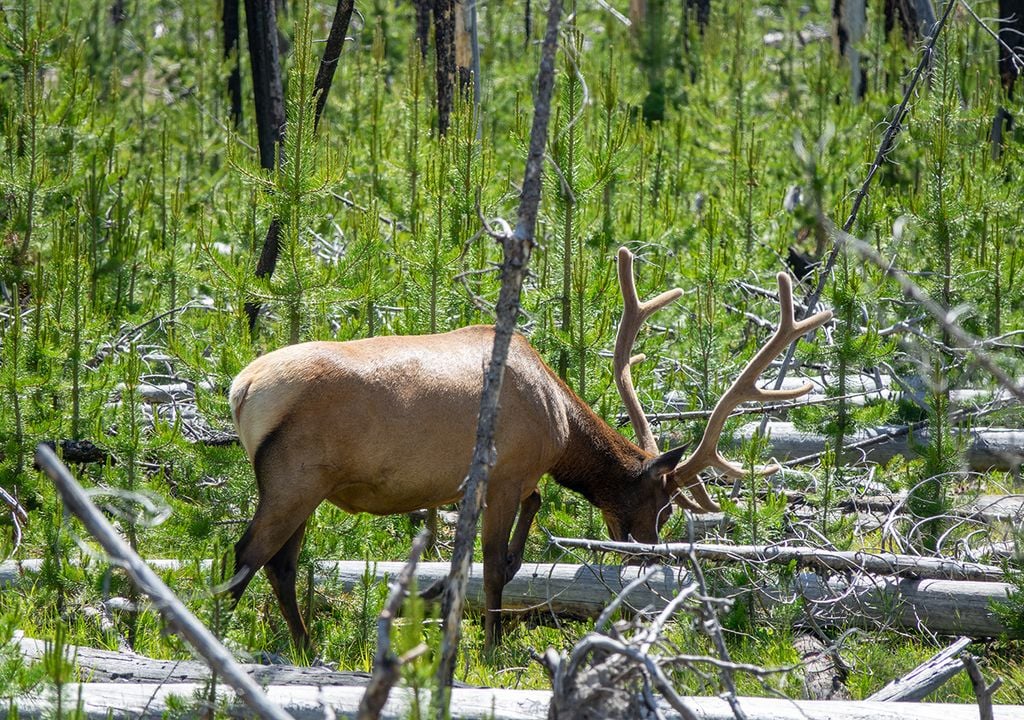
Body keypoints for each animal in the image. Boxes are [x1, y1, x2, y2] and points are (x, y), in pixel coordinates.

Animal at [226, 247, 831, 647]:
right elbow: (493, 565)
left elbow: (511, 533)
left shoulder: (495, 482)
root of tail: (243, 388)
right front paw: (491, 645)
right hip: (295, 477)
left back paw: (303, 645)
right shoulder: (504, 473)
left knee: (282, 564)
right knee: (249, 553)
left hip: (308, 487)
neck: (559, 426)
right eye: (660, 501)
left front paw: (441, 597)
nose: (648, 551)